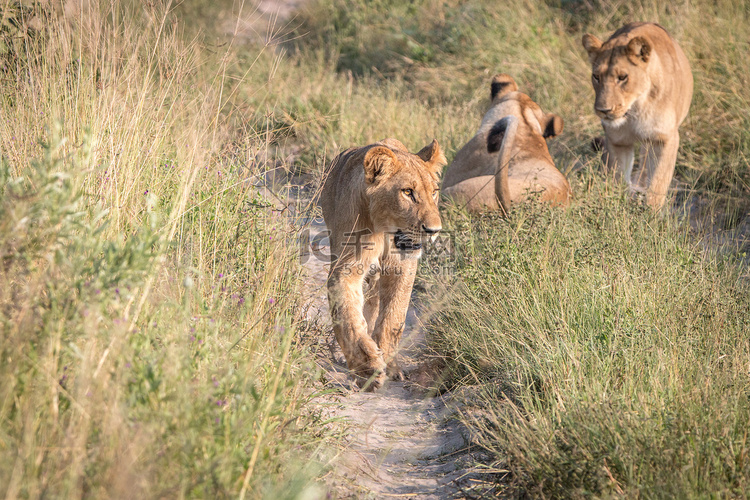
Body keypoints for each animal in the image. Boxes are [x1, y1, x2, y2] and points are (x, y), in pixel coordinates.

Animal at [318, 138, 446, 390]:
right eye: (407, 192)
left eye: (434, 192)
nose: (434, 230)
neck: (383, 231)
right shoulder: (345, 268)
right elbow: (348, 317)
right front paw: (368, 369)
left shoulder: (403, 266)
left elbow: (393, 317)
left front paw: (388, 363)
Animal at [584, 21, 696, 208]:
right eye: (596, 76)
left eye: (622, 77)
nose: (603, 110)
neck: (636, 110)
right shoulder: (617, 140)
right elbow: (618, 178)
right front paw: (617, 205)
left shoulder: (665, 139)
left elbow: (658, 182)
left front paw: (651, 212)